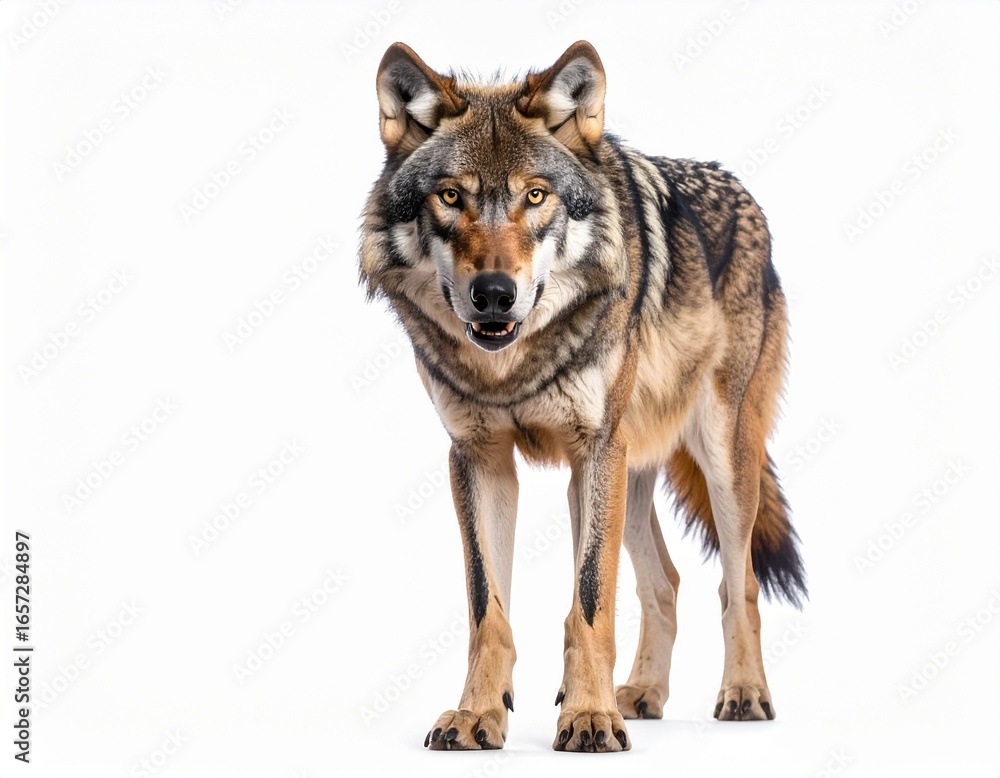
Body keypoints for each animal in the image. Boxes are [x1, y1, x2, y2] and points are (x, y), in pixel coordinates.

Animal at [359, 40, 806, 753]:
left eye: (536, 196)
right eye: (451, 197)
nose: (493, 294)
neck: (513, 368)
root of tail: (744, 195)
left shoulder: (595, 450)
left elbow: (590, 602)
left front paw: (590, 717)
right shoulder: (479, 459)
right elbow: (488, 609)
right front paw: (476, 715)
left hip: (715, 460)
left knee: (739, 583)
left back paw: (742, 694)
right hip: (628, 472)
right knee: (666, 582)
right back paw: (643, 693)